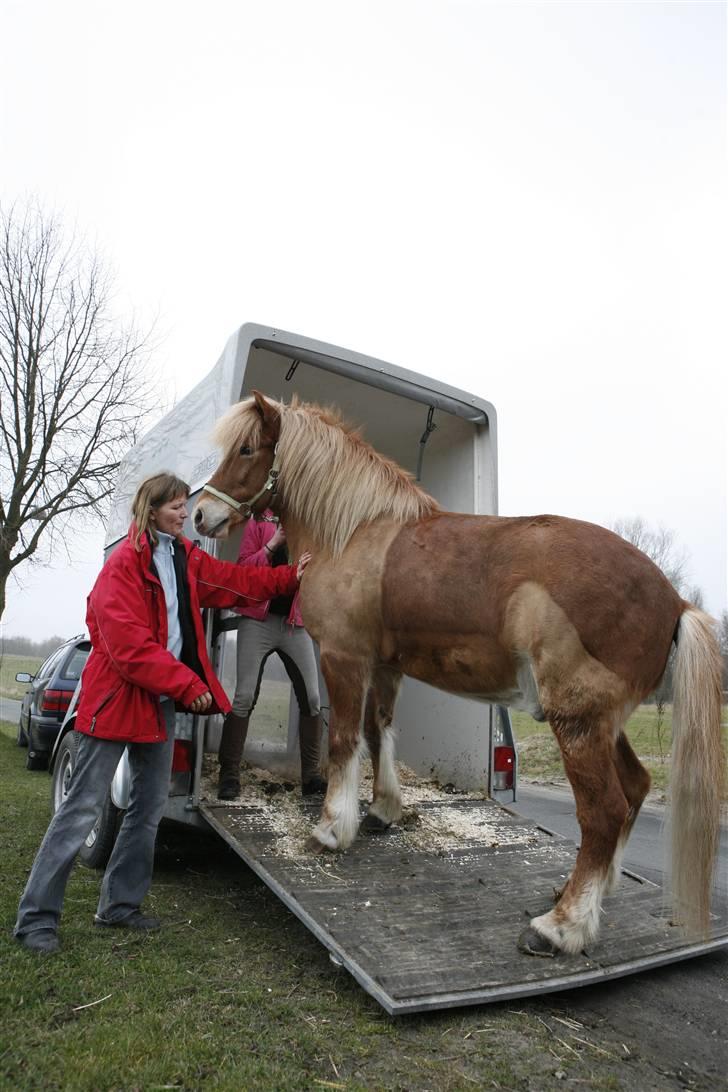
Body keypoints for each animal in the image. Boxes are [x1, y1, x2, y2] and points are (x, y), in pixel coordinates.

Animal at [192, 393, 724, 956]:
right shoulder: (384, 667)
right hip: (606, 723)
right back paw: (587, 896)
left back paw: (560, 927)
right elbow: (378, 732)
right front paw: (383, 811)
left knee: (604, 810)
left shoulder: (343, 657)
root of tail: (675, 601)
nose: (202, 515)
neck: (356, 531)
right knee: (637, 787)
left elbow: (343, 741)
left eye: (246, 449)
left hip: (576, 720)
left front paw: (332, 830)